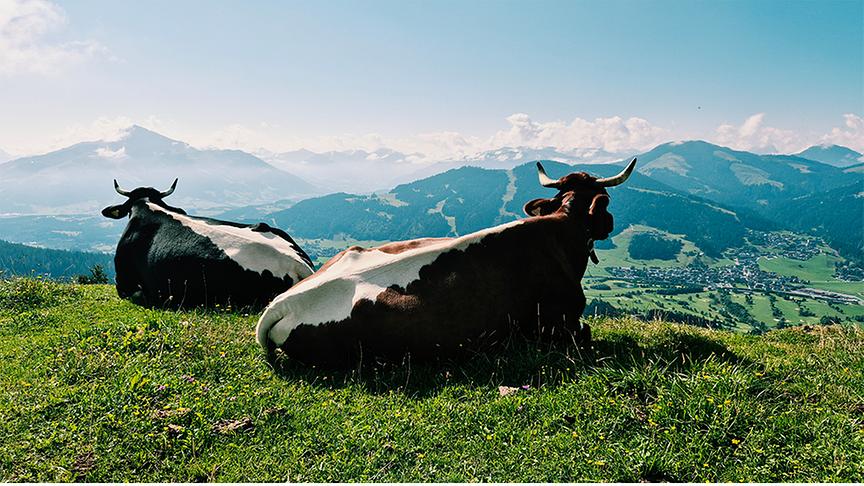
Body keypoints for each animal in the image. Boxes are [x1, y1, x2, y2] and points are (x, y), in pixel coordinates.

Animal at [256, 159, 636, 367]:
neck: (562, 231)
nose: (611, 223)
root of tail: (280, 303)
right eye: (606, 201)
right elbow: (586, 332)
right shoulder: (560, 324)